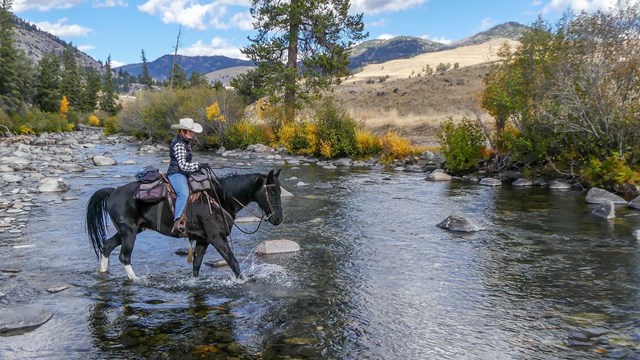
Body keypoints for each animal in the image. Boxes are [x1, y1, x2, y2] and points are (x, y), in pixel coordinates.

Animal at [85, 169, 282, 282]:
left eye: (280, 191)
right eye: (271, 192)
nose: (278, 219)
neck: (220, 199)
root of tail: (113, 191)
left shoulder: (203, 240)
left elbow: (196, 265)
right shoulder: (217, 238)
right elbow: (233, 262)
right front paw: (243, 281)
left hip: (130, 230)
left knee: (107, 246)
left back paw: (102, 272)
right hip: (129, 232)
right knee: (124, 257)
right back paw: (136, 280)